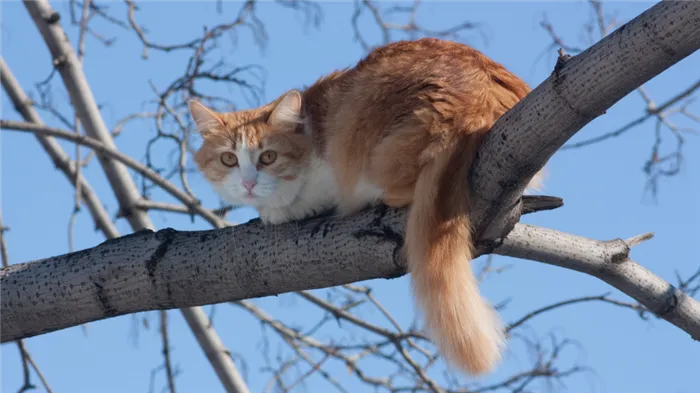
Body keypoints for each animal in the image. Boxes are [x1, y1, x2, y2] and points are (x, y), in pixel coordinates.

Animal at [191, 38, 548, 376]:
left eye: (268, 157)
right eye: (228, 159)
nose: (248, 183)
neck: (312, 128)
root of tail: (472, 101)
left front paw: (283, 209)